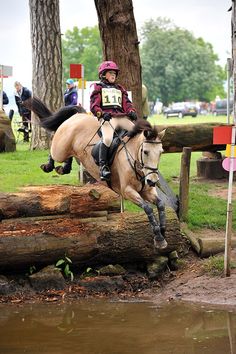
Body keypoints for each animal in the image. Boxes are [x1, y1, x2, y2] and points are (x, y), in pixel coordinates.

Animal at [25, 97, 167, 249]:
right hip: (60, 149)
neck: (134, 157)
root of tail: (78, 115)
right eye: (145, 152)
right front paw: (159, 238)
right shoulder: (127, 191)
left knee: (68, 156)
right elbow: (148, 208)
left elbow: (160, 204)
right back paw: (48, 166)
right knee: (53, 149)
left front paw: (163, 231)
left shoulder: (147, 191)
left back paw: (64, 168)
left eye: (161, 152)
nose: (152, 181)